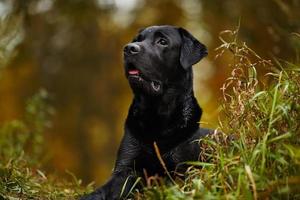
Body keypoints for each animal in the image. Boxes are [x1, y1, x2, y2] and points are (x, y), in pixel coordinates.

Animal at [82, 25, 212, 200]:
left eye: (162, 41)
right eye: (137, 40)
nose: (129, 48)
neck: (156, 117)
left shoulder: (181, 169)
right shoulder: (126, 167)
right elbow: (103, 190)